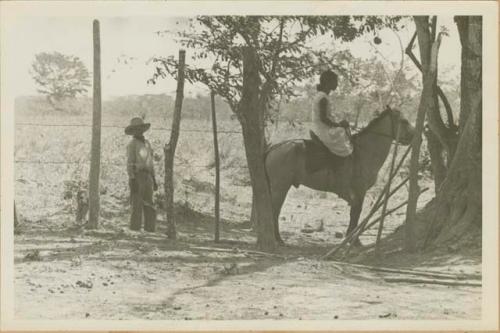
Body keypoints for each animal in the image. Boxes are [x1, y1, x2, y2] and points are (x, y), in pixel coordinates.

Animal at [262, 106, 414, 244]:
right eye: (404, 121)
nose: (413, 137)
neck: (364, 151)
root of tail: (274, 148)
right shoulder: (360, 190)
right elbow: (356, 213)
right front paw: (354, 240)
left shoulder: (356, 193)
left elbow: (354, 213)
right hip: (280, 187)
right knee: (275, 210)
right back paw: (278, 238)